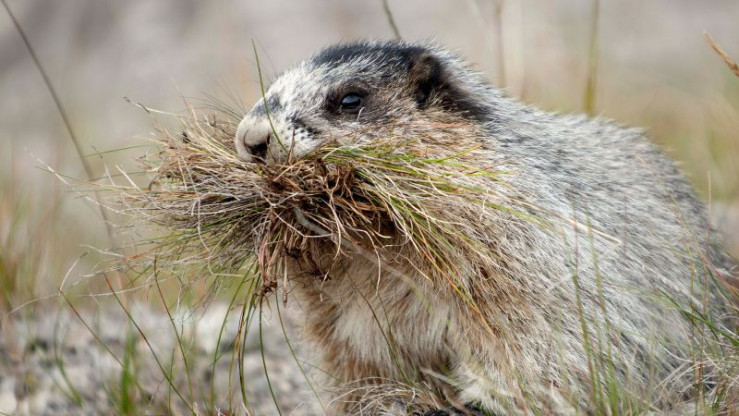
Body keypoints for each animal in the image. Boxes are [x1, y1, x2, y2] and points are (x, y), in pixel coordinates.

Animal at [234, 41, 734, 415]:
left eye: (350, 100)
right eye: (269, 89)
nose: (250, 138)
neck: (380, 248)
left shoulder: (525, 252)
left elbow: (546, 341)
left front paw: (477, 400)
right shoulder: (340, 317)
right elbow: (359, 364)